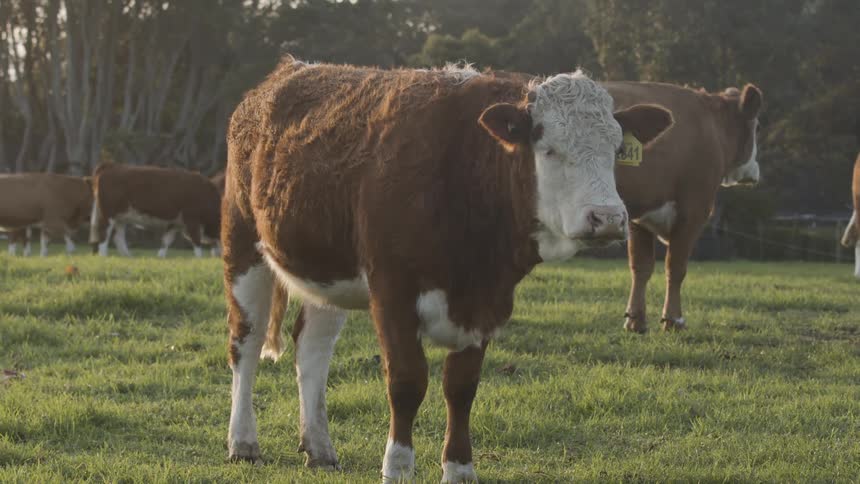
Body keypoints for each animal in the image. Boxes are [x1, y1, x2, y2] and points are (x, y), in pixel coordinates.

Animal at [89, 163, 221, 258]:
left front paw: (160, 256)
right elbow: (196, 240)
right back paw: (103, 255)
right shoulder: (192, 219)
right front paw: (199, 258)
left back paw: (128, 256)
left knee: (118, 237)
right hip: (108, 214)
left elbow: (166, 240)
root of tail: (110, 166)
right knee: (104, 233)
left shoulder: (175, 222)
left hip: (121, 217)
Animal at [222, 56, 673, 482]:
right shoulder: (393, 291)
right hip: (242, 245)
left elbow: (461, 387)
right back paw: (243, 442)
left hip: (328, 270)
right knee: (246, 340)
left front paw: (458, 468)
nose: (608, 218)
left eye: (617, 151)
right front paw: (397, 467)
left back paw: (319, 448)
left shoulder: (485, 302)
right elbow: (406, 382)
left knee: (313, 349)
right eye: (548, 149)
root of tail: (286, 72)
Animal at [604, 81, 763, 332]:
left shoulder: (641, 214)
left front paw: (635, 320)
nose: (753, 171)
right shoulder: (694, 210)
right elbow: (676, 267)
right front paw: (673, 319)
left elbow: (641, 266)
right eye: (757, 128)